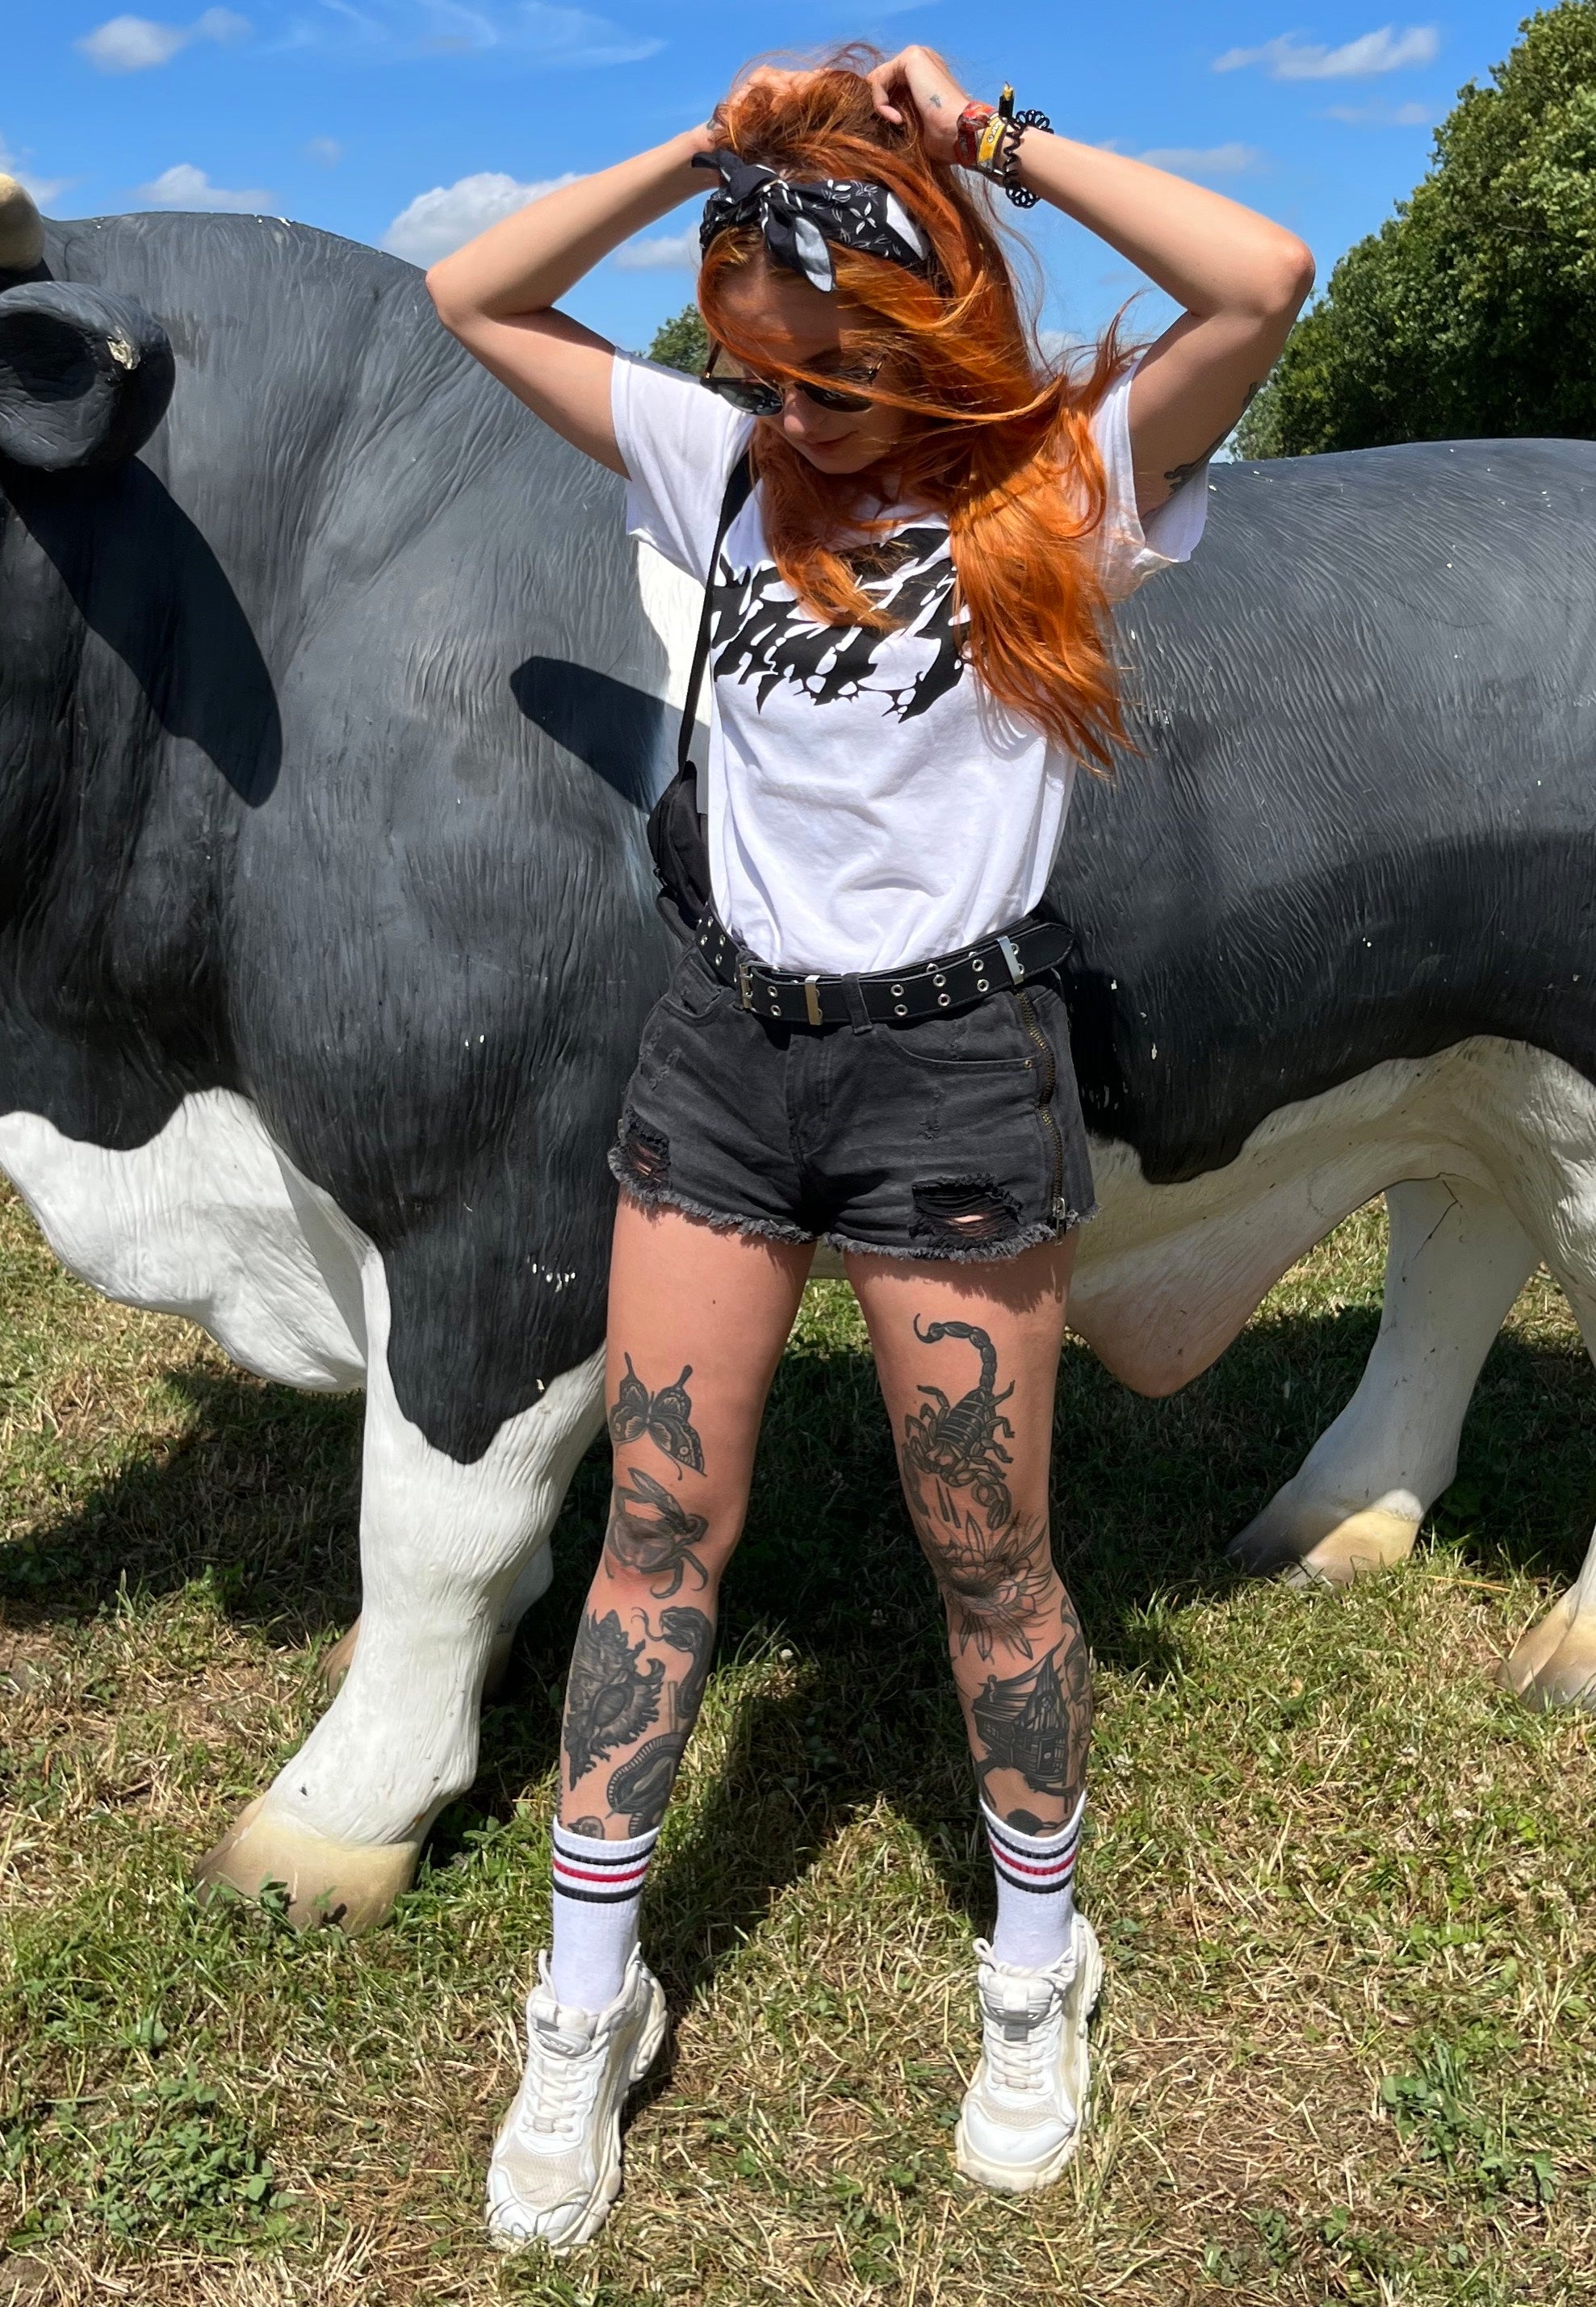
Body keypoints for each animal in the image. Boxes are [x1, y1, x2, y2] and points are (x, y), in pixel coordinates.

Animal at [2, 181, 1592, 1934]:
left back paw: (1561, 1651)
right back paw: (1332, 1521)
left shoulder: (499, 1201)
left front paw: (335, 1815)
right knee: (1456, 1246)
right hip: (1468, 1062)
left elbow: (432, 1523)